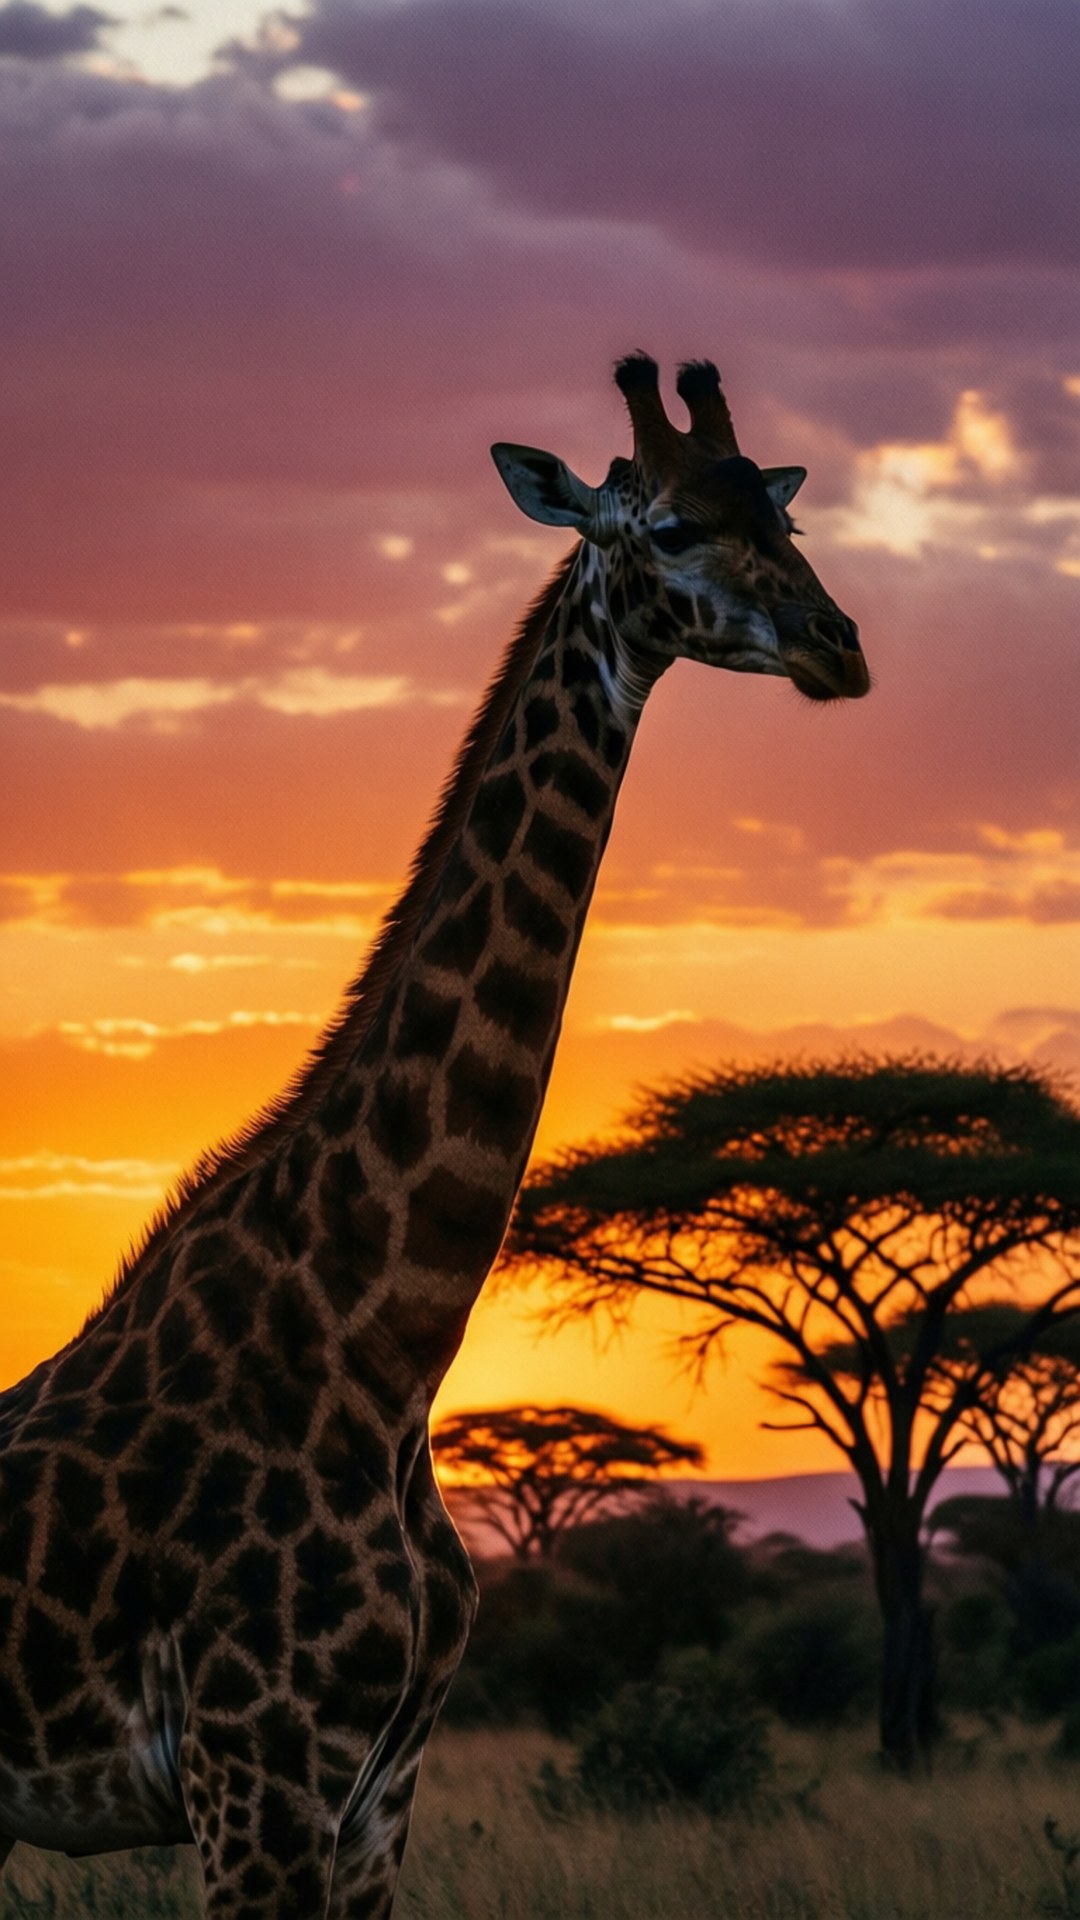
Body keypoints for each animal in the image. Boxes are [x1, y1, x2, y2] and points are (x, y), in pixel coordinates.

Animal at [0, 354, 868, 1917]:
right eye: (664, 530)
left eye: (778, 515)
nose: (840, 647)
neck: (380, 1354)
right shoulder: (257, 1779)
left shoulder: (371, 1803)